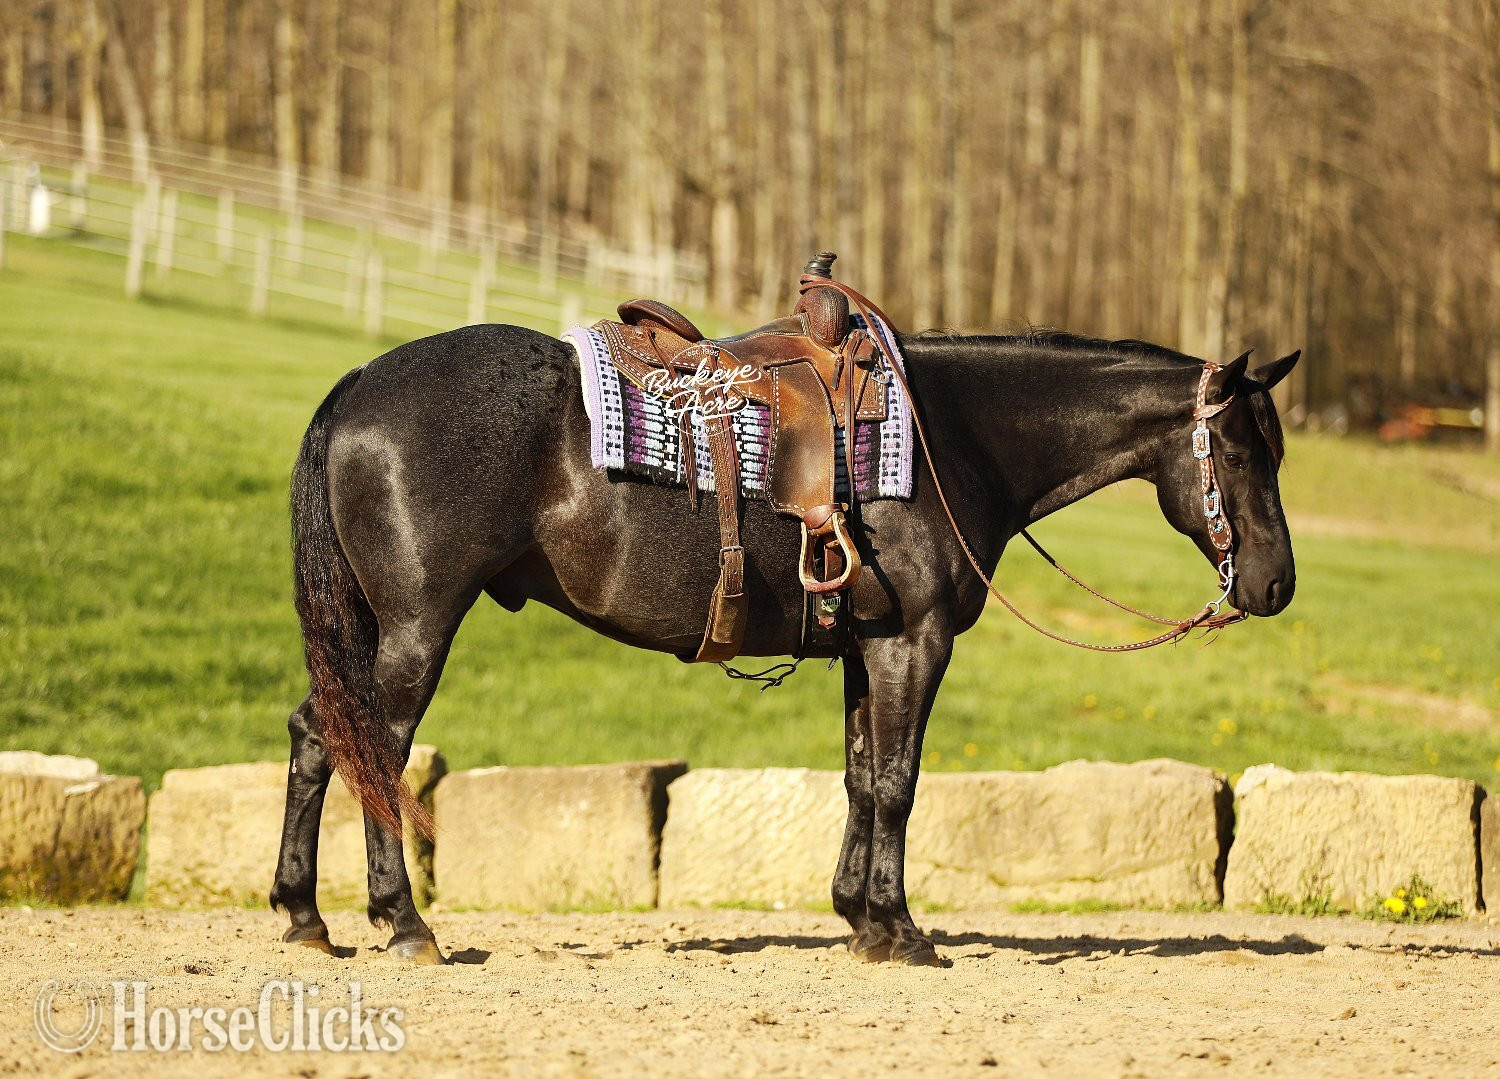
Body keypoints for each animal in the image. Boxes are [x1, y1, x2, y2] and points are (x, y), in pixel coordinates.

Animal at [270, 321, 1299, 967]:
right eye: (1241, 450)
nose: (1277, 584)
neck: (950, 437)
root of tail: (359, 385)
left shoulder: (867, 646)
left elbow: (860, 776)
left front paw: (859, 917)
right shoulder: (914, 643)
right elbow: (898, 782)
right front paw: (902, 930)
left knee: (318, 736)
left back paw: (306, 915)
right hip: (418, 625)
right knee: (375, 750)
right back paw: (405, 922)